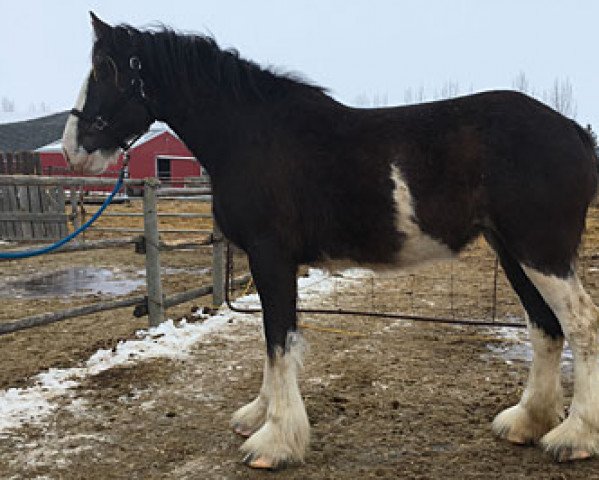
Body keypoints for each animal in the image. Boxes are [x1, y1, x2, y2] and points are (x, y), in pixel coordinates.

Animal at [63, 14, 596, 468]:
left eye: (106, 69)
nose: (72, 150)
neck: (252, 134)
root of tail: (574, 131)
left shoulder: (271, 255)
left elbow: (278, 340)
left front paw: (275, 443)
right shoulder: (277, 262)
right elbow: (275, 339)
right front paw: (259, 417)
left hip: (540, 251)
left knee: (581, 324)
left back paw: (575, 437)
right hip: (513, 251)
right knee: (545, 326)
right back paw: (528, 423)